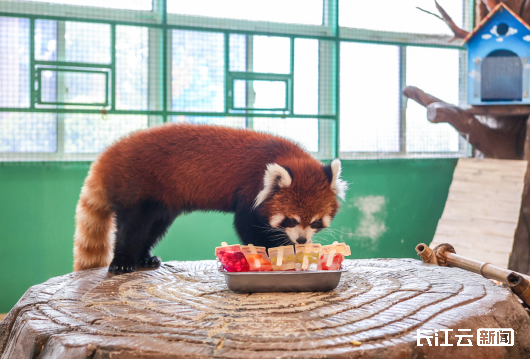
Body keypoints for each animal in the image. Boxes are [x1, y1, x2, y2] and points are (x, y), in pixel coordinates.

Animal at [74, 122, 346, 274]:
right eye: (291, 220)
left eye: (316, 222)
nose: (301, 239)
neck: (283, 156)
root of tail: (109, 154)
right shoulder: (249, 190)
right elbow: (247, 227)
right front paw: (275, 254)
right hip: (137, 187)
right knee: (132, 228)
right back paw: (123, 261)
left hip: (162, 203)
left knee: (152, 228)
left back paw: (145, 258)